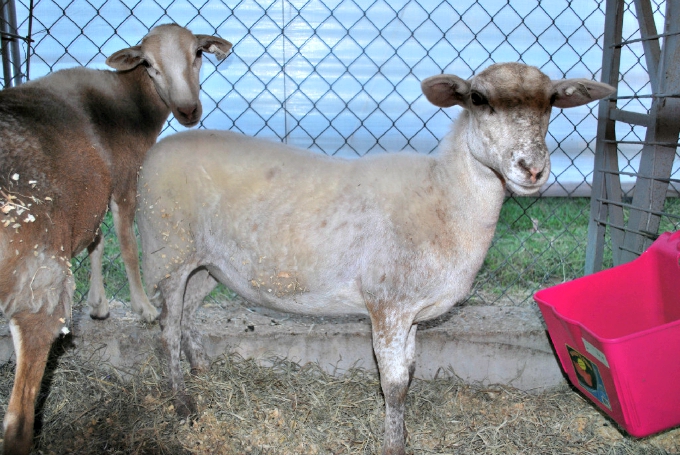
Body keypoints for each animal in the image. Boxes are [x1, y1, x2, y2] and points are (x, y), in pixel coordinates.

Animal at [0, 24, 232, 455]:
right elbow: (125, 244)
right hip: (37, 284)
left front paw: (99, 306)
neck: (129, 102)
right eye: (149, 64)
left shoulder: (93, 195)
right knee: (17, 421)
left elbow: (96, 244)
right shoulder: (125, 180)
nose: (189, 111)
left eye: (198, 54)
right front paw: (144, 307)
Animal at [137, 62, 615, 455]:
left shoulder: (413, 312)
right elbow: (395, 383)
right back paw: (183, 403)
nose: (532, 168)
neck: (444, 196)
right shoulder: (388, 304)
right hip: (168, 251)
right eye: (478, 99)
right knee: (167, 330)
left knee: (188, 317)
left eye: (551, 100)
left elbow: (411, 371)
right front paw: (393, 444)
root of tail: (153, 154)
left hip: (208, 264)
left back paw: (200, 371)